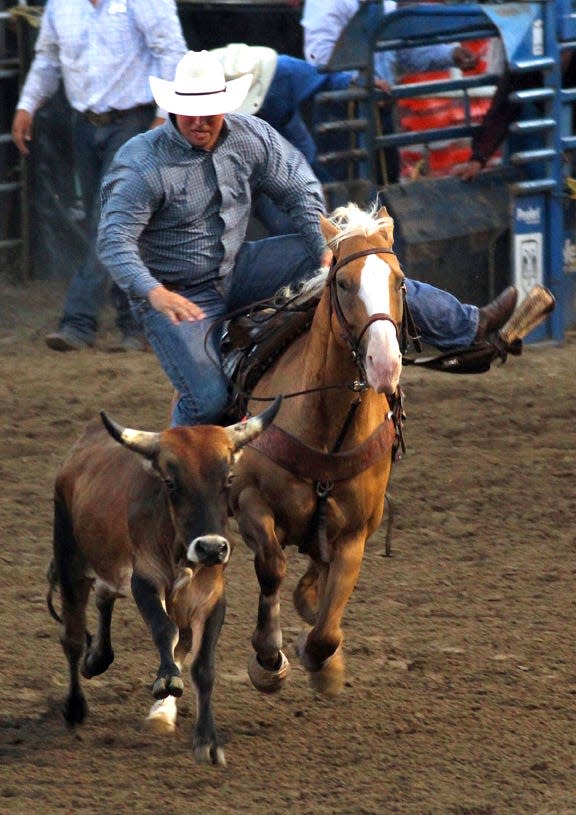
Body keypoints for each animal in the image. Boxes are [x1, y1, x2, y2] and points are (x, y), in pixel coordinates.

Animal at [230, 204, 404, 696]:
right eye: (343, 283)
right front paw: (268, 659)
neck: (327, 425)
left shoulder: (355, 533)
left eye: (399, 282)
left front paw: (324, 662)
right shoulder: (248, 501)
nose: (385, 364)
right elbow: (271, 564)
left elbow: (327, 628)